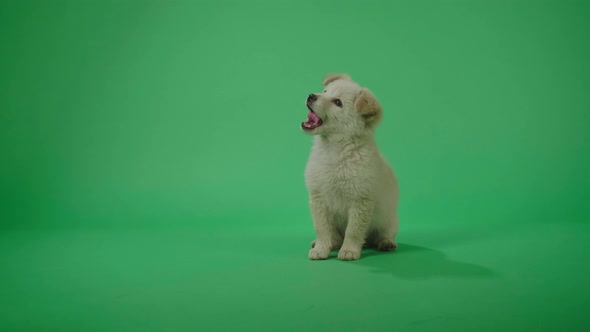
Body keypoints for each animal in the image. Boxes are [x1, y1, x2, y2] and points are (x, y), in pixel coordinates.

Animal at [302, 74, 400, 260]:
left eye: (337, 102)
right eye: (325, 91)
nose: (311, 96)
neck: (335, 149)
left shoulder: (360, 200)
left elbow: (353, 231)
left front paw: (349, 250)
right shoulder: (318, 199)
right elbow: (322, 228)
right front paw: (321, 248)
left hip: (389, 217)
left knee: (384, 233)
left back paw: (386, 243)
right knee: (335, 236)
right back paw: (330, 243)